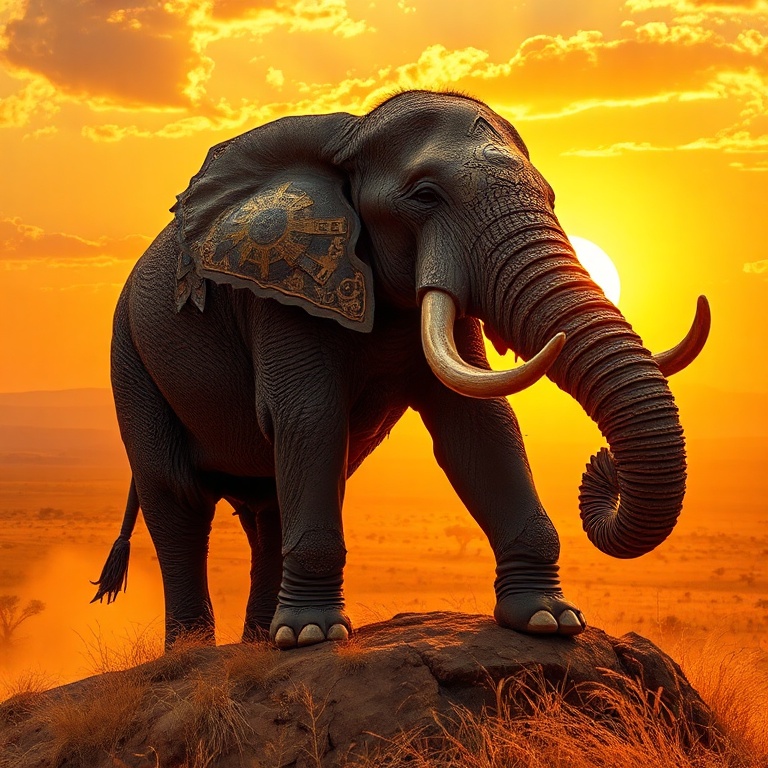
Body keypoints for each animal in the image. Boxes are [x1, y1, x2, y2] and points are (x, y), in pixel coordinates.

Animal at [91, 90, 710, 650]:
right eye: (425, 196)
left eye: (551, 195)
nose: (603, 466)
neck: (353, 136)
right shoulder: (283, 290)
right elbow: (310, 416)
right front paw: (315, 635)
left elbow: (479, 425)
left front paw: (547, 621)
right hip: (130, 357)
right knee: (177, 500)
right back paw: (201, 652)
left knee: (265, 508)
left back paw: (261, 644)